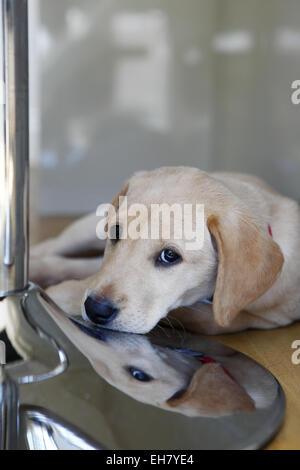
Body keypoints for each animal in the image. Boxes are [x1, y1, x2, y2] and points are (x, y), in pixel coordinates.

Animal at [31, 167, 300, 336]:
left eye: (170, 256)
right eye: (116, 233)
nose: (96, 309)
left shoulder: (254, 317)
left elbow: (198, 315)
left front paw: (64, 292)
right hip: (88, 227)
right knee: (54, 245)